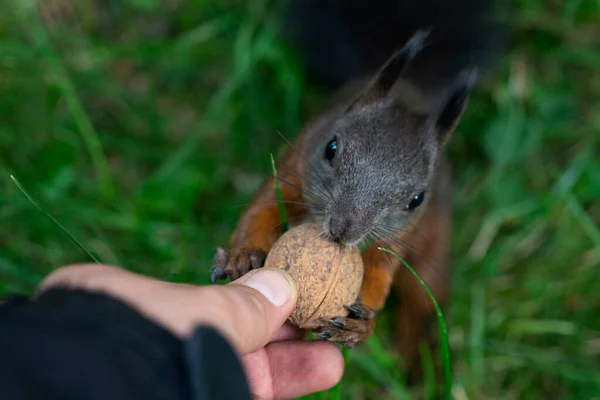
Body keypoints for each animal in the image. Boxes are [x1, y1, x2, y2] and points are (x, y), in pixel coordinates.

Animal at [211, 0, 506, 378]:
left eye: (416, 199)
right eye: (331, 147)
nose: (342, 230)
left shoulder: (394, 239)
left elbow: (378, 276)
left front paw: (361, 326)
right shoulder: (294, 166)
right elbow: (260, 210)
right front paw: (242, 254)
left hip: (434, 244)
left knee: (423, 300)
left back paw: (419, 362)